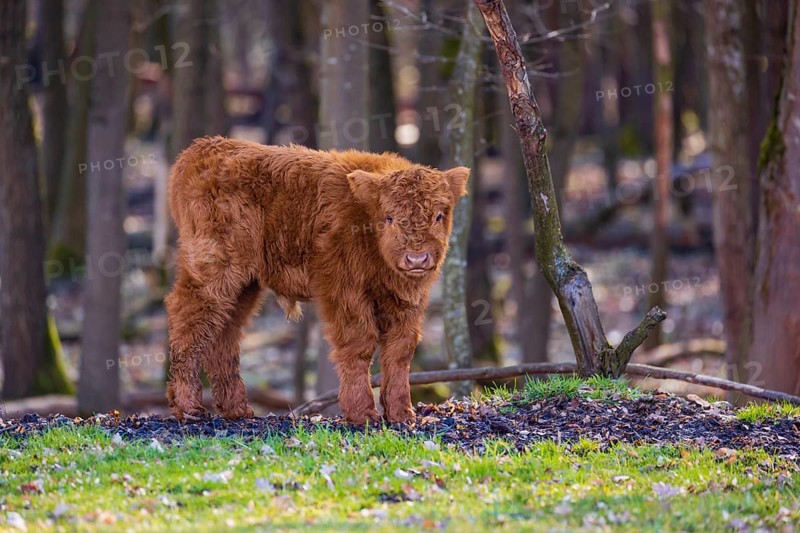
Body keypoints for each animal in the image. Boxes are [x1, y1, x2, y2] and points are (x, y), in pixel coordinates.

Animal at [165, 136, 469, 424]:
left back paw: (237, 410)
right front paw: (362, 413)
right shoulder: (344, 290)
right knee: (189, 319)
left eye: (439, 215)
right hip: (213, 271)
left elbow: (400, 350)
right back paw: (188, 408)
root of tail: (203, 149)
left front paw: (401, 413)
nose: (416, 259)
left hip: (244, 285)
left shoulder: (406, 300)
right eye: (390, 217)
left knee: (225, 333)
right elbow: (359, 344)